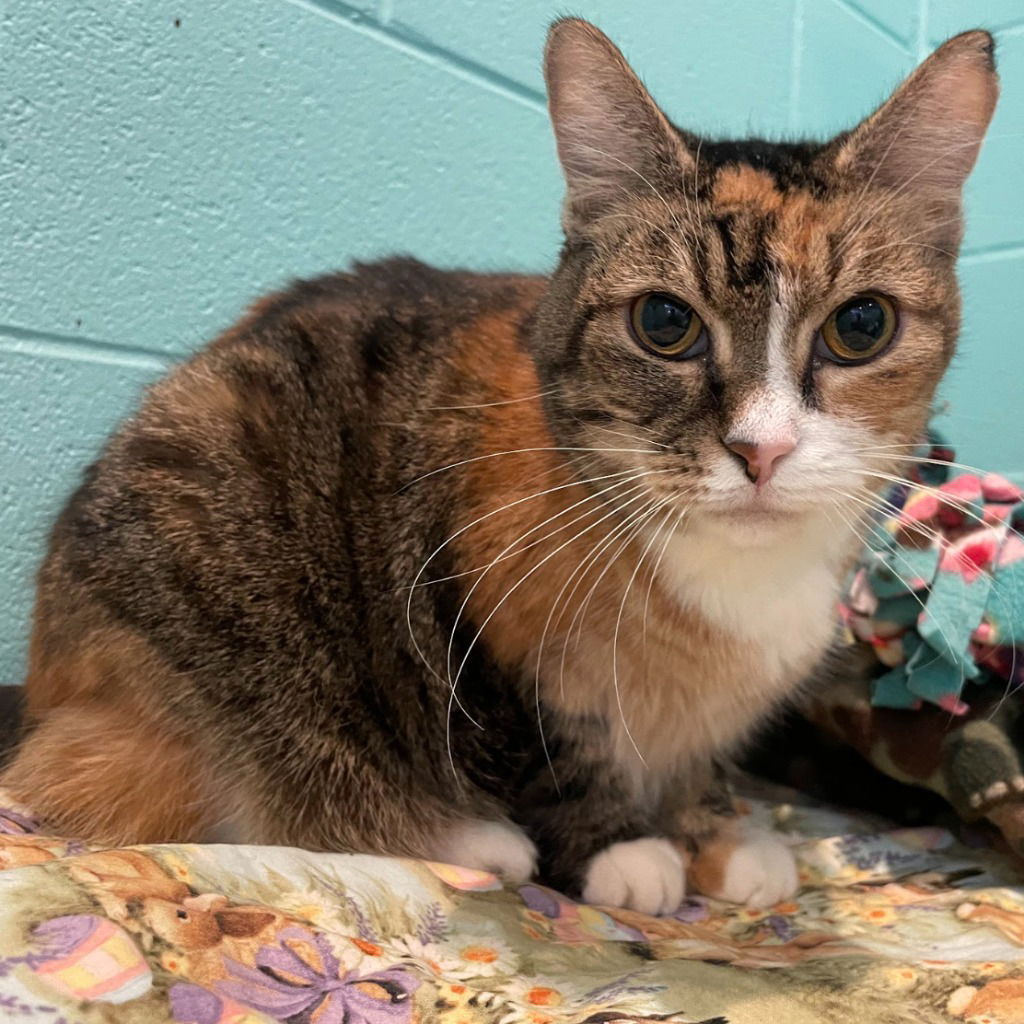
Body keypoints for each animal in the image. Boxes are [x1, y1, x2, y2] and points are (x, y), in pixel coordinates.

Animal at [0, 18, 995, 913]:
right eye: (664, 323)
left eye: (861, 325)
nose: (763, 447)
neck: (737, 575)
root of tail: (47, 696)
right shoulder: (480, 631)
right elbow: (548, 752)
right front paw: (624, 850)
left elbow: (701, 766)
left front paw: (718, 835)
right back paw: (468, 837)